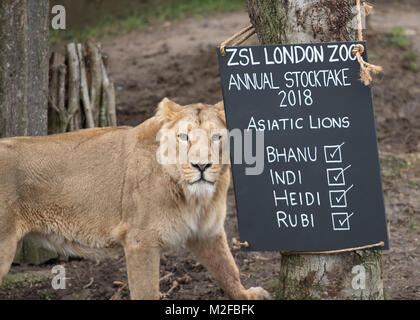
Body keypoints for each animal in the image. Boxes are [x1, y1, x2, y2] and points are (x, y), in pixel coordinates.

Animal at [0, 97, 270, 300]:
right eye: (183, 137)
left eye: (216, 137)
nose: (201, 165)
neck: (193, 197)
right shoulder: (141, 240)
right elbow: (146, 291)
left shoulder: (206, 232)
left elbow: (228, 268)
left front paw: (247, 295)